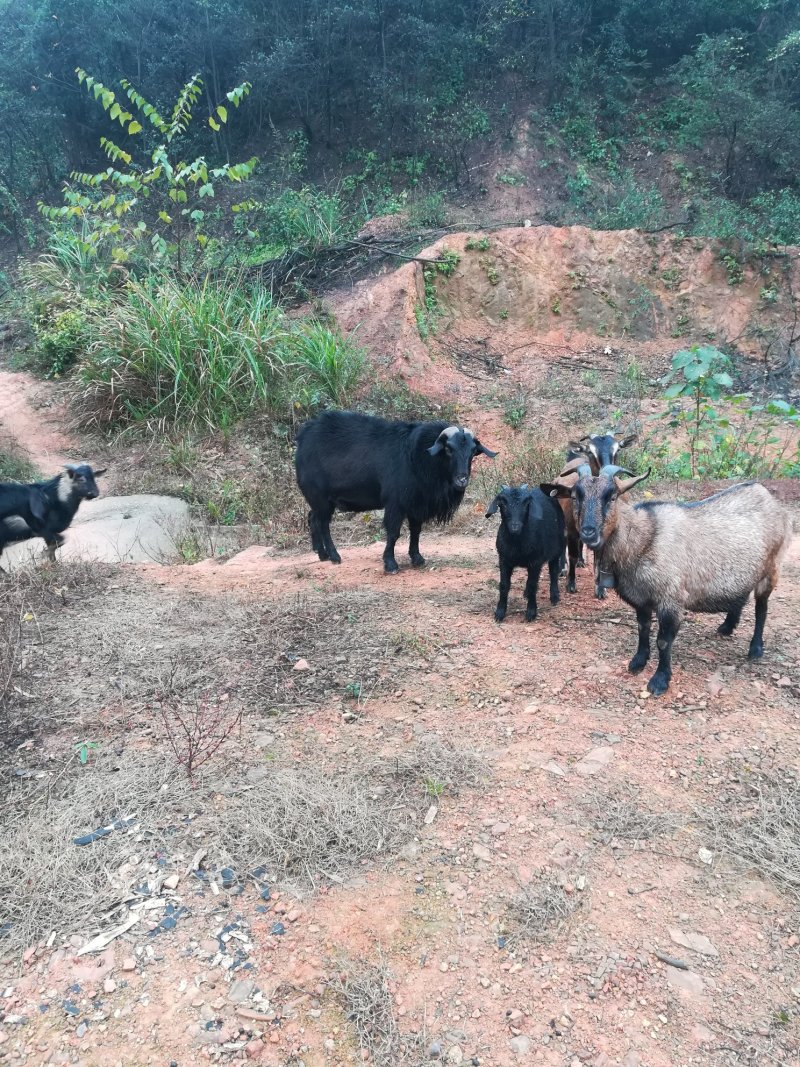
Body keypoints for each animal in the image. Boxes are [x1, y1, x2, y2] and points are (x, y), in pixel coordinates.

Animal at [294, 409, 499, 576]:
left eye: (473, 451)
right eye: (449, 449)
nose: (462, 480)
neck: (417, 457)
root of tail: (303, 437)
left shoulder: (417, 504)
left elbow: (416, 531)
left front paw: (417, 558)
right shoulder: (396, 503)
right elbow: (393, 532)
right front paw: (390, 563)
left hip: (318, 501)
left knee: (313, 518)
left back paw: (321, 553)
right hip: (320, 497)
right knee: (323, 523)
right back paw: (334, 555)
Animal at [486, 486, 567, 623]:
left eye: (526, 504)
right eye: (503, 503)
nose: (515, 527)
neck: (517, 543)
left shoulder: (536, 562)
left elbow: (533, 584)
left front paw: (531, 612)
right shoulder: (503, 559)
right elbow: (504, 585)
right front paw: (500, 612)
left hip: (557, 548)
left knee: (553, 572)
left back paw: (554, 596)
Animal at [546, 465, 797, 695]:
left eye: (612, 496)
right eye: (575, 496)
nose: (588, 532)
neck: (643, 538)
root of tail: (769, 497)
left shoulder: (671, 599)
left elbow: (663, 641)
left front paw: (660, 680)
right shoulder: (641, 599)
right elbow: (642, 629)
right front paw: (638, 661)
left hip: (772, 568)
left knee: (762, 608)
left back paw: (755, 648)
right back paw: (727, 627)